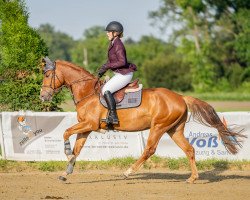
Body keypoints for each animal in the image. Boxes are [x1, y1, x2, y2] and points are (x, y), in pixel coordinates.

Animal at [40, 59, 245, 183]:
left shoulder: (89, 124)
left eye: (47, 75)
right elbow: (77, 148)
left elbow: (66, 132)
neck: (88, 92)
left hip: (158, 127)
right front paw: (66, 171)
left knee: (149, 150)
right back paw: (192, 178)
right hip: (174, 130)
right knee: (189, 149)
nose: (43, 96)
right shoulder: (86, 128)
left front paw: (67, 154)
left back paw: (128, 172)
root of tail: (180, 97)